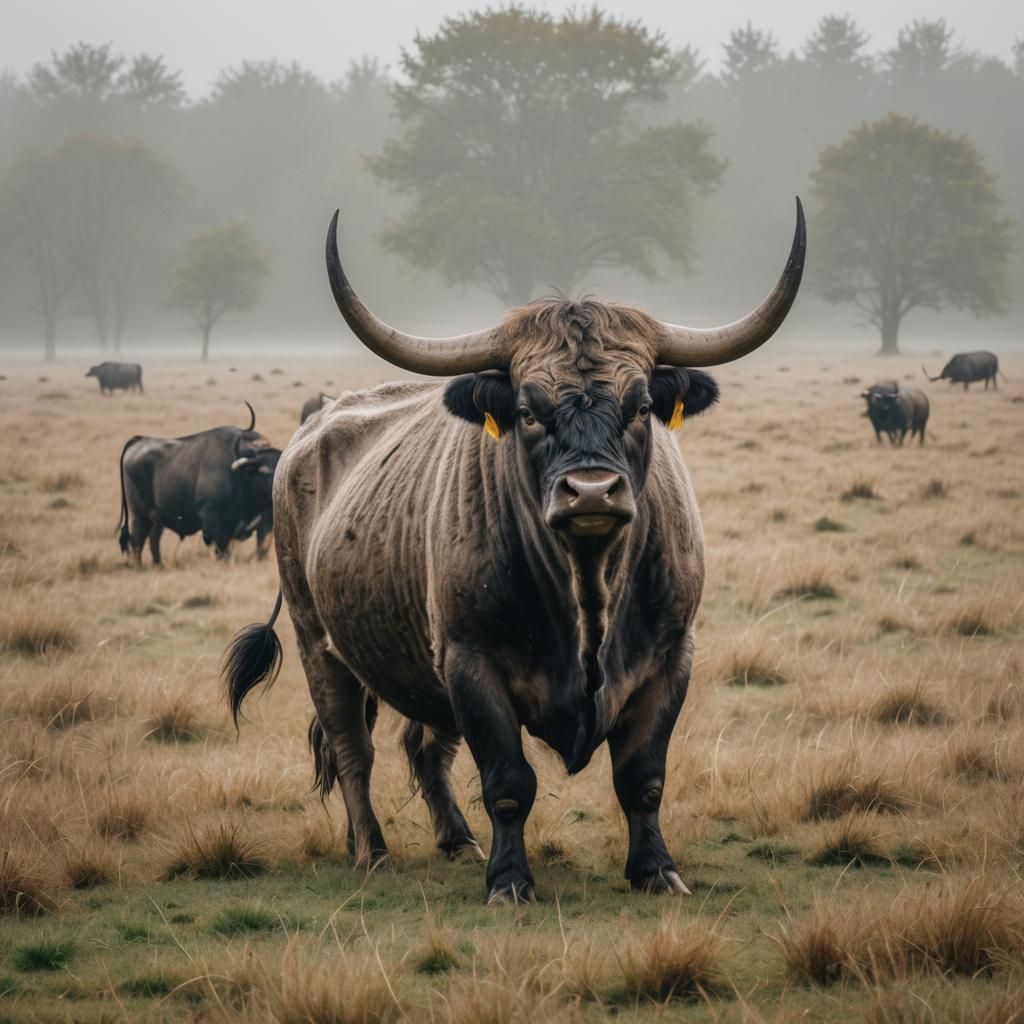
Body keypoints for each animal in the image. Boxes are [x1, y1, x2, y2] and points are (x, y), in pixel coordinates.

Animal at [118, 402, 281, 566]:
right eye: (265, 471)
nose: (276, 489)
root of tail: (139, 441)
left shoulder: (265, 523)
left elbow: (261, 548)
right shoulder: (209, 515)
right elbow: (220, 546)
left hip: (157, 517)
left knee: (153, 538)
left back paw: (159, 564)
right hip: (139, 516)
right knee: (137, 540)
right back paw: (139, 566)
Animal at [223, 200, 805, 904]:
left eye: (640, 405)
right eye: (529, 410)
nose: (591, 491)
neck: (587, 589)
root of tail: (310, 434)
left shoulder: (670, 659)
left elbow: (642, 778)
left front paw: (656, 870)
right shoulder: (473, 664)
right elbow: (507, 784)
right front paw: (509, 880)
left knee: (424, 745)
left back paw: (455, 839)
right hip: (321, 645)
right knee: (351, 748)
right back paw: (372, 851)